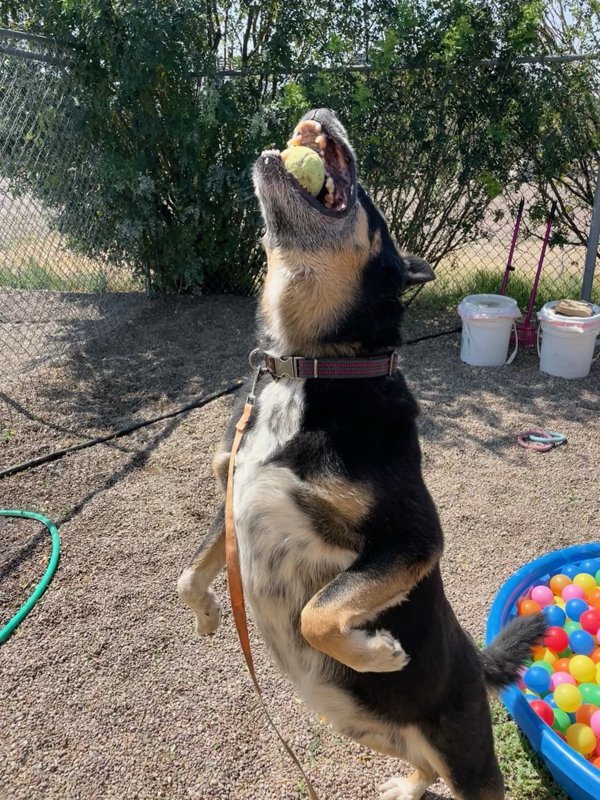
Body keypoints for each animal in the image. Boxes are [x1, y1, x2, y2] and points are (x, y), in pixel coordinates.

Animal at [177, 108, 544, 800]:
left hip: (466, 756)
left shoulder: (413, 538)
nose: (322, 112)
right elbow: (188, 575)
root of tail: (476, 663)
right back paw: (405, 786)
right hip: (373, 731)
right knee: (419, 761)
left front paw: (375, 651)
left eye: (369, 202)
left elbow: (315, 614)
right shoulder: (231, 493)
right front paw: (210, 616)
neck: (306, 364)